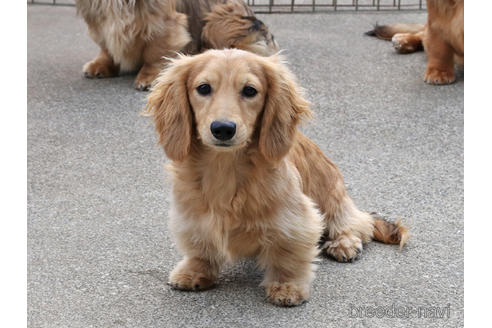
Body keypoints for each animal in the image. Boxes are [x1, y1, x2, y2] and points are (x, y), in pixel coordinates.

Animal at [75, 0, 278, 89]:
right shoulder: (99, 22)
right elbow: (106, 47)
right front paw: (101, 65)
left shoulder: (163, 22)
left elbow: (155, 51)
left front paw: (149, 77)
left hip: (216, 20)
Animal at [144, 49, 410, 308]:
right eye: (203, 88)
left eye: (250, 90)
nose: (223, 129)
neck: (226, 167)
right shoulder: (192, 215)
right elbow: (201, 246)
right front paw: (195, 270)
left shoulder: (296, 220)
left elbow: (288, 255)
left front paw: (287, 286)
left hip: (331, 197)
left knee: (357, 222)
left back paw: (344, 243)